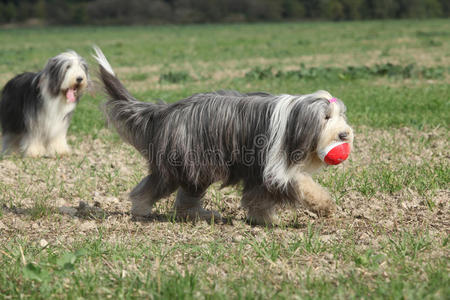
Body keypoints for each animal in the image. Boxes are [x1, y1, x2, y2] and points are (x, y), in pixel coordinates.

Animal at [94, 47, 356, 225]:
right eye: (326, 117)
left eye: (340, 114)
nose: (344, 134)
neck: (294, 119)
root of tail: (166, 110)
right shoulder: (273, 166)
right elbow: (299, 183)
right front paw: (324, 204)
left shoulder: (257, 171)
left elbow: (258, 198)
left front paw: (264, 218)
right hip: (189, 160)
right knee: (156, 185)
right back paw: (140, 209)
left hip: (195, 167)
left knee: (182, 196)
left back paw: (197, 214)